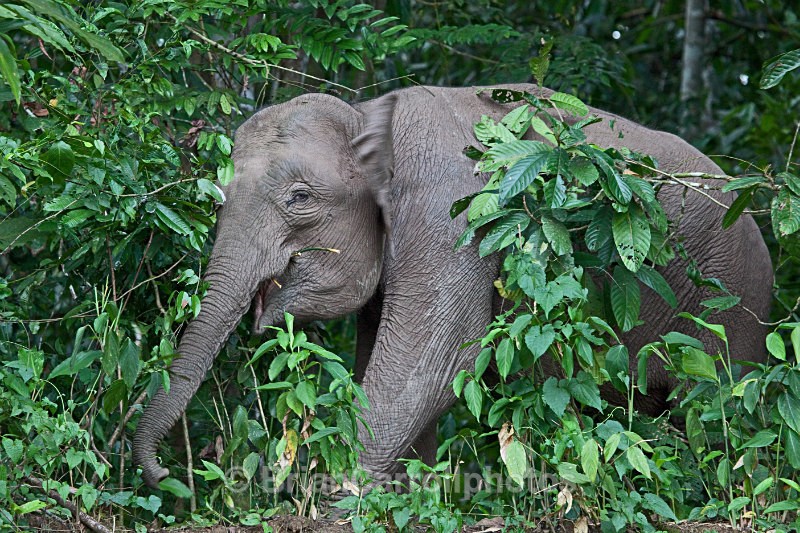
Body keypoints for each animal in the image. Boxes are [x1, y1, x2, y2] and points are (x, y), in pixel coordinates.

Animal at [132, 84, 772, 489]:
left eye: (299, 198)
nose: (169, 474)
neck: (369, 117)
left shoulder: (452, 215)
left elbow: (435, 363)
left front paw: (337, 495)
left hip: (730, 303)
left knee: (709, 408)